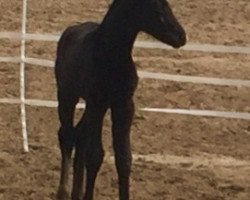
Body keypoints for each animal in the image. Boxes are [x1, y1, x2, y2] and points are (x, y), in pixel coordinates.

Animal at [55, 0, 186, 199]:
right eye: (156, 7)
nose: (181, 36)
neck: (110, 55)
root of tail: (70, 30)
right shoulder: (96, 103)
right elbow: (95, 155)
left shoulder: (124, 105)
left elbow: (124, 159)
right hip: (67, 96)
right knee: (67, 136)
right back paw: (63, 191)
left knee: (79, 136)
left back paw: (76, 192)